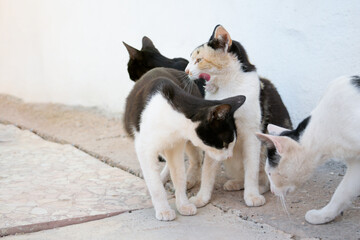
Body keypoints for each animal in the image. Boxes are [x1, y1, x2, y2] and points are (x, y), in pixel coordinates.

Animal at [123, 66, 245, 220]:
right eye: (224, 143)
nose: (229, 156)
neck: (171, 117)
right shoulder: (144, 148)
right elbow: (155, 184)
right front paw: (163, 209)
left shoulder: (176, 145)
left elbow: (179, 175)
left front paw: (183, 205)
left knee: (194, 159)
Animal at [184, 25, 292, 207]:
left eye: (199, 60)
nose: (186, 71)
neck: (228, 89)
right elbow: (207, 170)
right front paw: (201, 198)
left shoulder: (252, 134)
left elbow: (252, 169)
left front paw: (252, 195)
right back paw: (235, 183)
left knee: (265, 179)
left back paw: (257, 189)